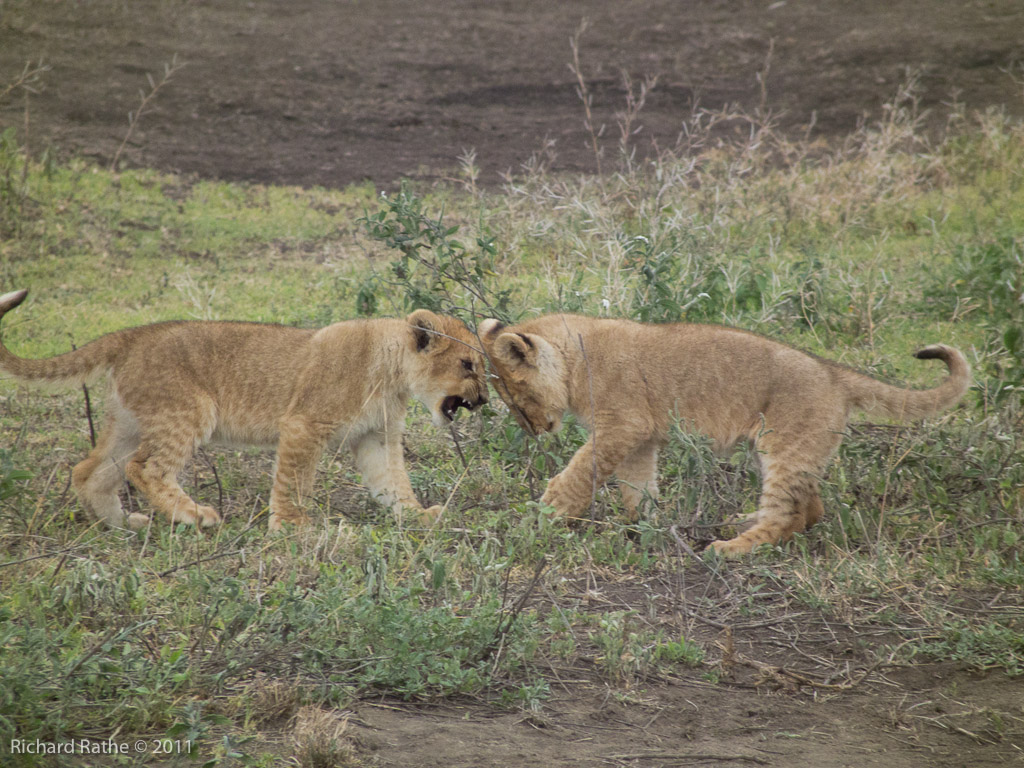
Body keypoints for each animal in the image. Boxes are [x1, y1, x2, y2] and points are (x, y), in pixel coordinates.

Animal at [0, 289, 487, 531]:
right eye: (468, 364)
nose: (483, 399)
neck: (391, 373)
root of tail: (134, 335)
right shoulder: (303, 424)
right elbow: (294, 482)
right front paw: (292, 527)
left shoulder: (376, 438)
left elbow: (393, 483)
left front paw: (418, 516)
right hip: (187, 412)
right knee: (146, 468)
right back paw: (193, 515)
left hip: (132, 423)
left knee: (90, 471)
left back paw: (123, 525)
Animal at [479, 314, 970, 556]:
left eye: (516, 396)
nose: (531, 430)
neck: (574, 355)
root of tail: (835, 374)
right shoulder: (641, 438)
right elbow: (639, 487)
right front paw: (644, 526)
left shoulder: (623, 425)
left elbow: (581, 471)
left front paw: (547, 512)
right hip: (786, 450)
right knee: (810, 509)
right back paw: (737, 523)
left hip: (784, 447)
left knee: (786, 516)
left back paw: (729, 548)